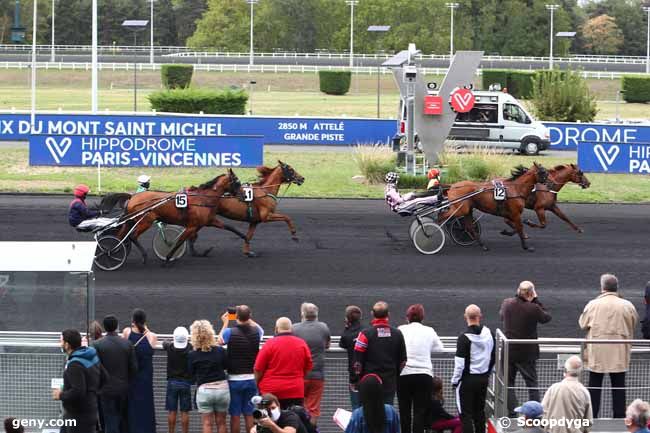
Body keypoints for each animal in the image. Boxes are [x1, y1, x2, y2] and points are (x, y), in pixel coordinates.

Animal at [115, 170, 244, 262]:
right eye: (237, 182)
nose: (243, 195)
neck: (203, 199)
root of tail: (132, 198)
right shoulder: (192, 226)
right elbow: (180, 241)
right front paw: (167, 258)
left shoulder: (208, 221)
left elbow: (230, 227)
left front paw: (246, 240)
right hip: (145, 221)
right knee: (132, 236)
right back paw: (143, 256)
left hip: (131, 221)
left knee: (120, 236)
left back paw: (115, 251)